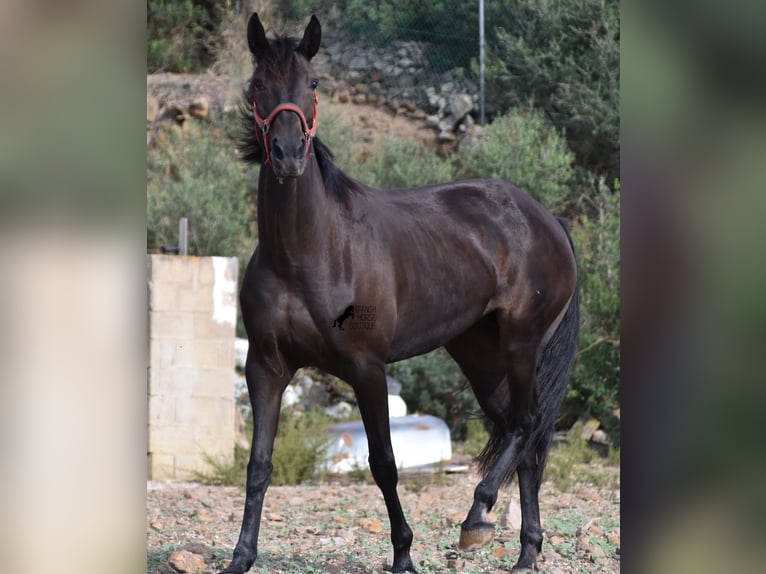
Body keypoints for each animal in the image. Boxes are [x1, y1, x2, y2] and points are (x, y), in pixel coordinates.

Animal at [222, 13, 584, 574]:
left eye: (313, 84)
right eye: (259, 84)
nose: (288, 154)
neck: (305, 254)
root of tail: (547, 219)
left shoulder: (367, 368)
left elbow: (384, 464)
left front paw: (404, 556)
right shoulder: (265, 367)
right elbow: (259, 464)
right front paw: (241, 557)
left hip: (522, 344)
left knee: (526, 426)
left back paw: (477, 519)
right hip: (479, 354)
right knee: (524, 439)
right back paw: (526, 553)